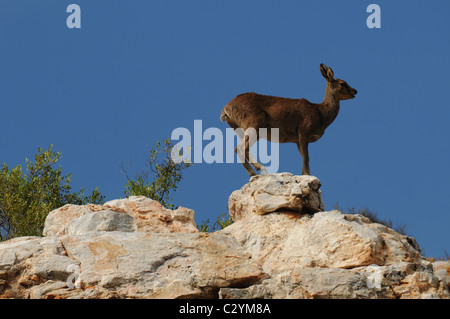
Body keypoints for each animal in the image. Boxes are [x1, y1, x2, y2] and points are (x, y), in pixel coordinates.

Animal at [220, 63, 356, 176]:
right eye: (343, 83)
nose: (355, 91)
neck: (320, 113)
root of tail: (226, 109)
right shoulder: (303, 130)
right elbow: (306, 156)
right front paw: (307, 175)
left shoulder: (296, 140)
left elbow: (303, 156)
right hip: (254, 124)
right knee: (239, 148)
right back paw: (257, 171)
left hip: (243, 130)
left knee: (243, 149)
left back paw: (257, 171)